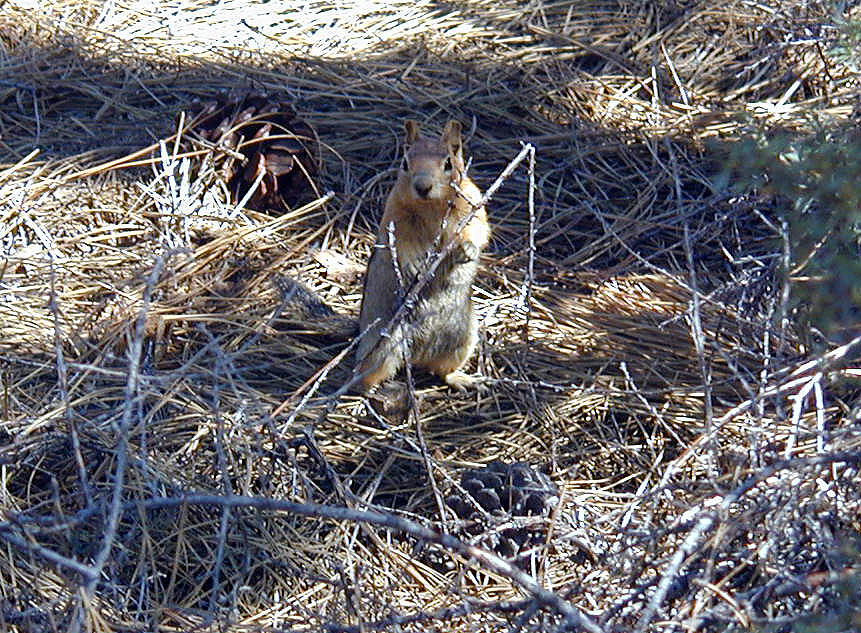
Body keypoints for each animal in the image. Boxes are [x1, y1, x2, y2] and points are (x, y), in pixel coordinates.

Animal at [354, 119, 490, 393]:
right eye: (405, 162)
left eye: (448, 163)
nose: (422, 186)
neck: (432, 206)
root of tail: (418, 353)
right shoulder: (395, 218)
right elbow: (401, 244)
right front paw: (414, 265)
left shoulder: (474, 207)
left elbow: (477, 230)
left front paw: (467, 249)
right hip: (380, 347)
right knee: (366, 373)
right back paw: (369, 390)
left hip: (464, 338)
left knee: (440, 370)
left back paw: (463, 379)